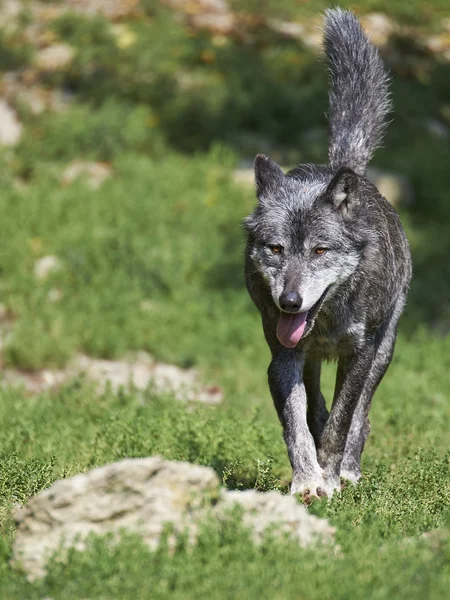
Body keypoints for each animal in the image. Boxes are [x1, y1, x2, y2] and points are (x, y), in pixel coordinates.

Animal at [244, 8, 414, 502]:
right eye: (276, 249)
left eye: (320, 249)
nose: (289, 303)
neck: (328, 318)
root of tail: (344, 169)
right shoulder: (281, 358)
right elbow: (297, 424)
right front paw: (307, 481)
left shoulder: (360, 354)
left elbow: (343, 421)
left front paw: (333, 477)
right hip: (310, 359)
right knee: (316, 405)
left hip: (384, 352)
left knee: (361, 415)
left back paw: (350, 471)